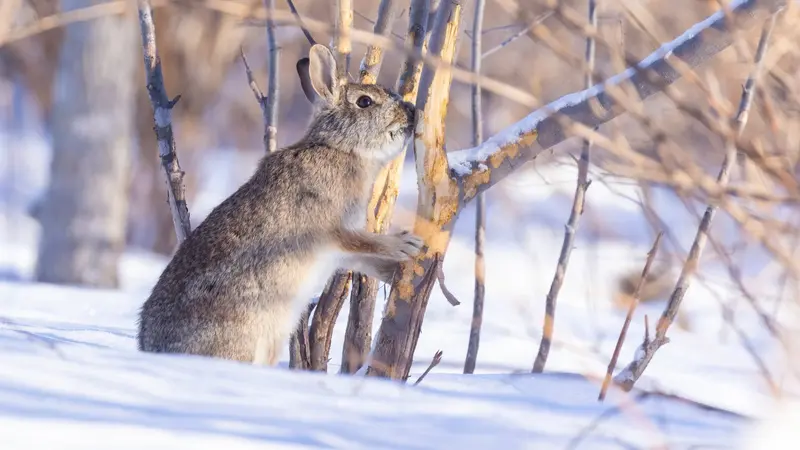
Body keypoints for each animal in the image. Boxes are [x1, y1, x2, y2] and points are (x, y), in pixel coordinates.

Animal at [136, 43, 424, 366]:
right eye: (365, 101)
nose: (411, 112)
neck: (340, 149)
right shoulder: (333, 230)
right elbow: (367, 243)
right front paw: (407, 244)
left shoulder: (338, 251)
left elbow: (363, 261)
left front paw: (396, 272)